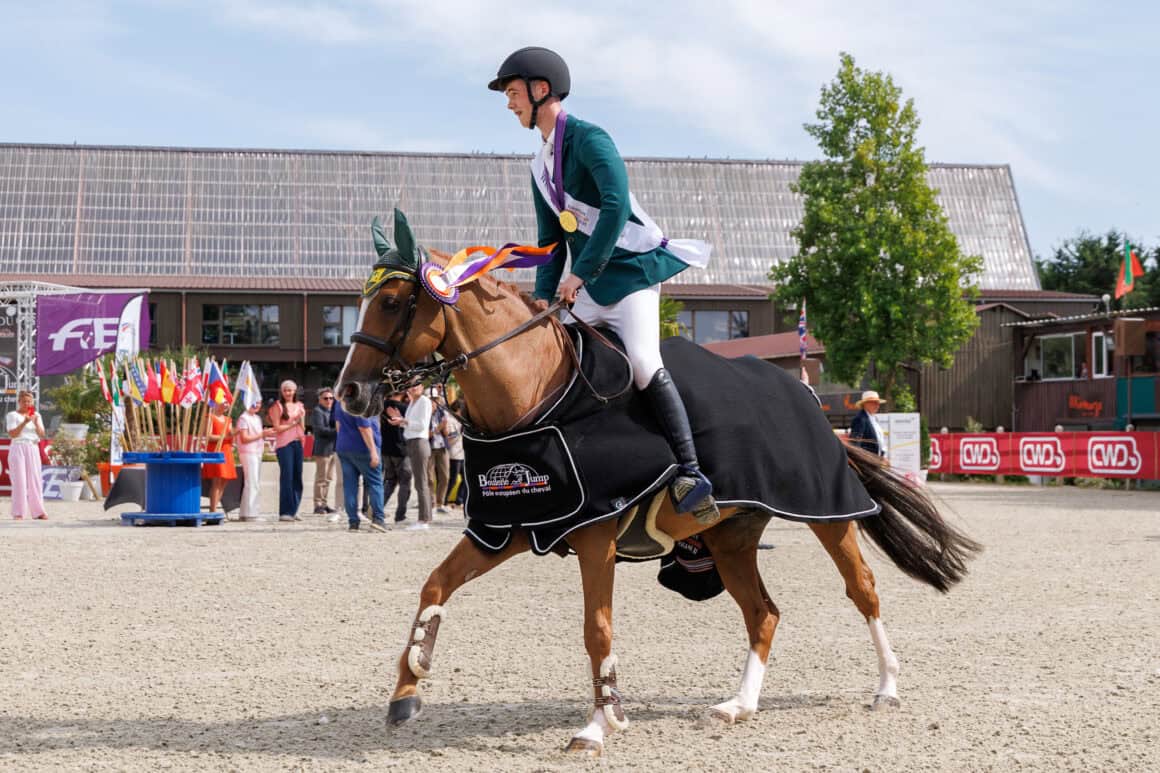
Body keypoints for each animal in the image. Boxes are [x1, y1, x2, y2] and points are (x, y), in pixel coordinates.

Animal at [335, 211, 981, 757]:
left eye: (390, 301)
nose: (349, 395)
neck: (536, 395)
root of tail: (808, 398)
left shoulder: (594, 534)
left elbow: (596, 630)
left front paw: (599, 725)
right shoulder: (508, 527)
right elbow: (434, 586)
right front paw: (407, 689)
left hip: (830, 516)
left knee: (863, 590)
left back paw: (887, 687)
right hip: (731, 536)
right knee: (763, 614)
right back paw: (740, 704)